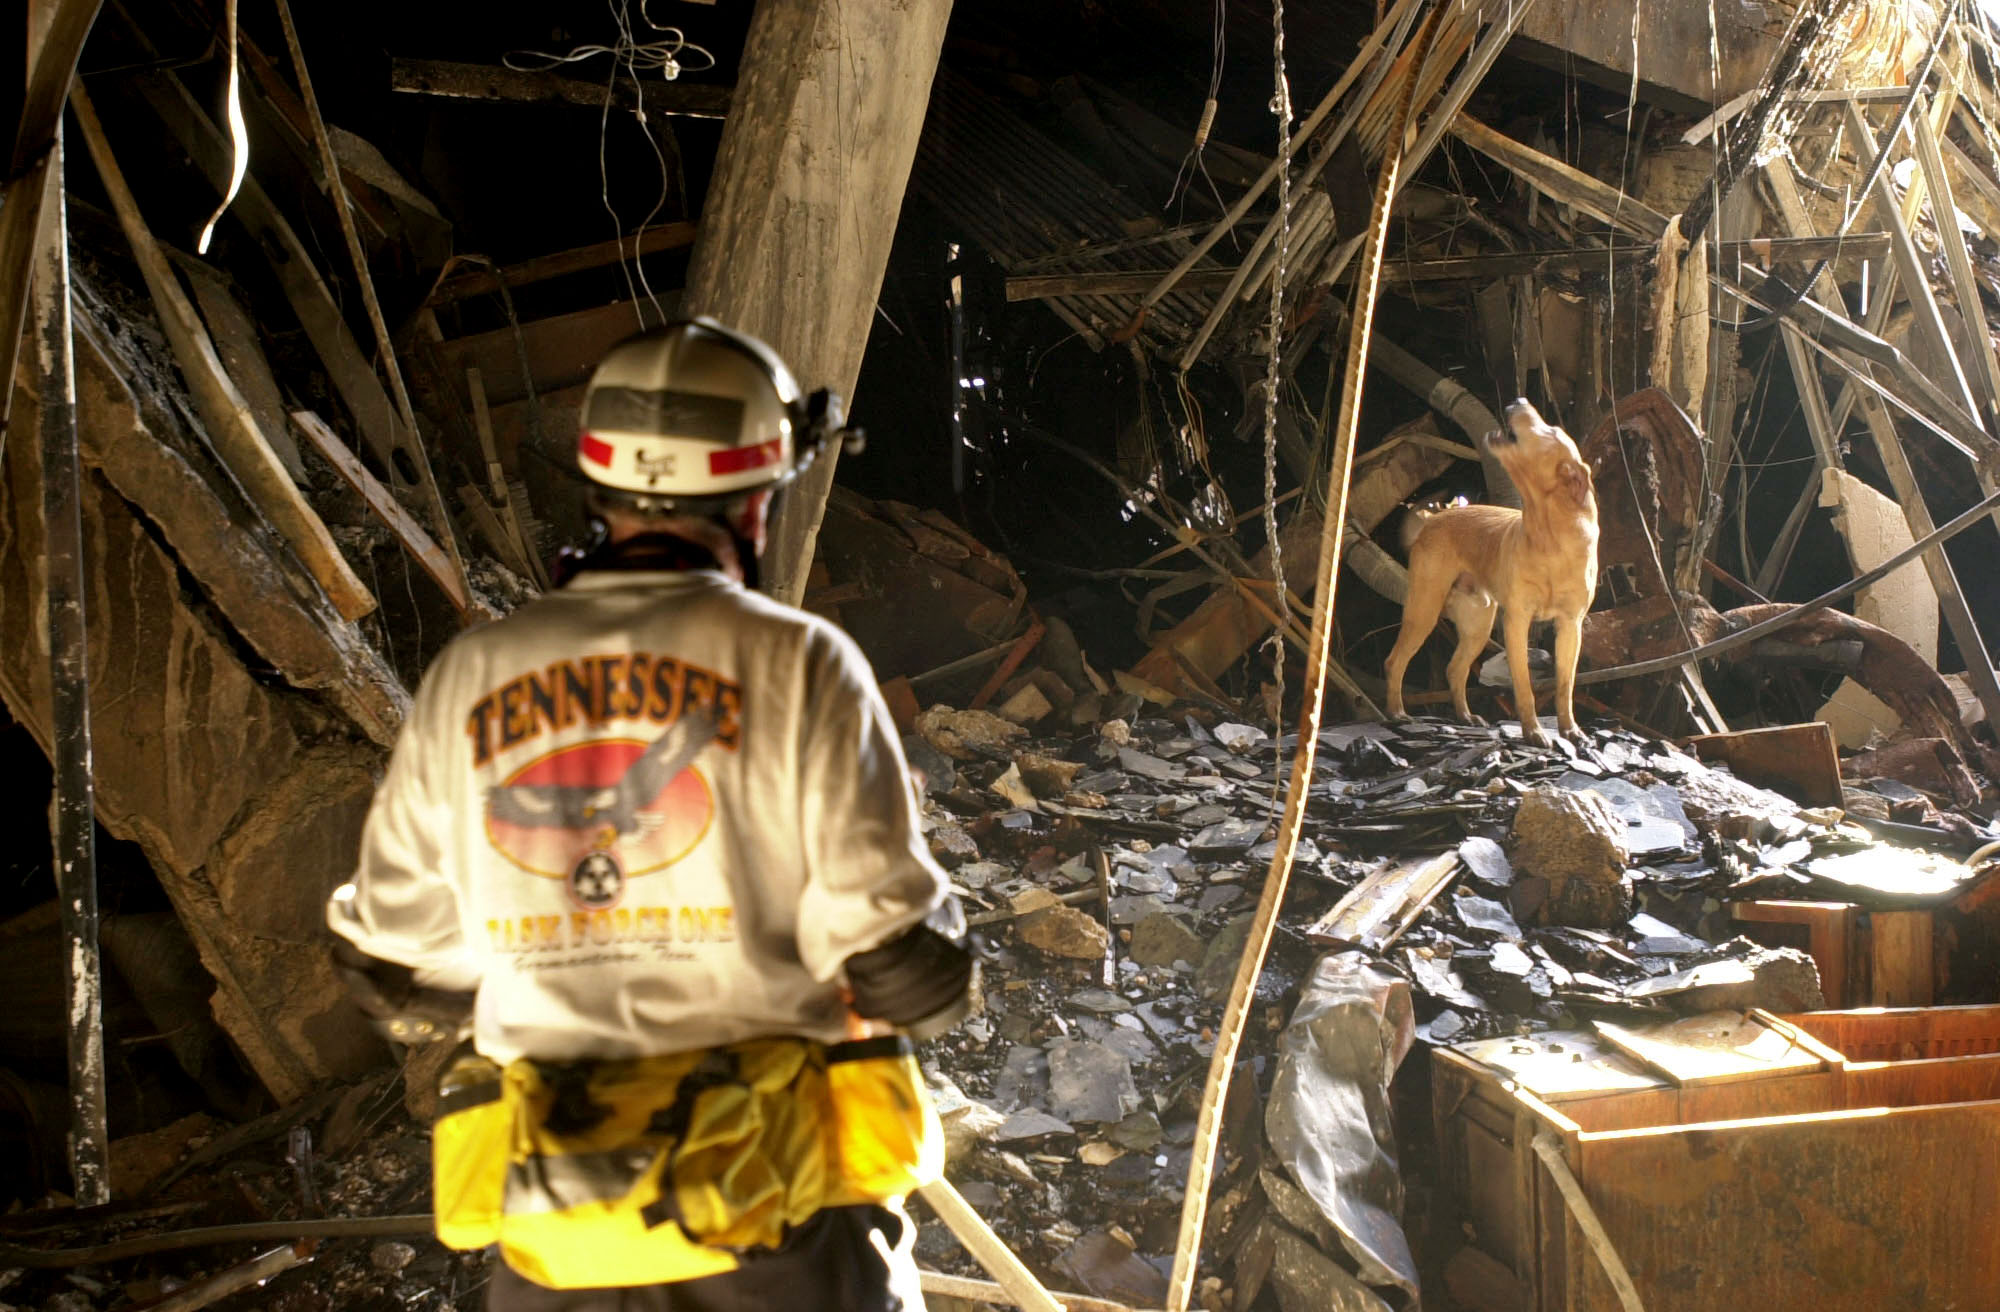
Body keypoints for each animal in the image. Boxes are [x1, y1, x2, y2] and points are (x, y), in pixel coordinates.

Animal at [1384, 400, 1600, 744]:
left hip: (1478, 624)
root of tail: (1435, 519)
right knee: (1395, 661)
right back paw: (1397, 712)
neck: (1550, 542)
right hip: (1425, 609)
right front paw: (1533, 731)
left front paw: (1571, 730)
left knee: (1455, 669)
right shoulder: (1517, 620)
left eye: (1549, 428)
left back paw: (1465, 715)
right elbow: (1524, 687)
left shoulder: (1571, 626)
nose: (1520, 400)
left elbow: (1565, 687)